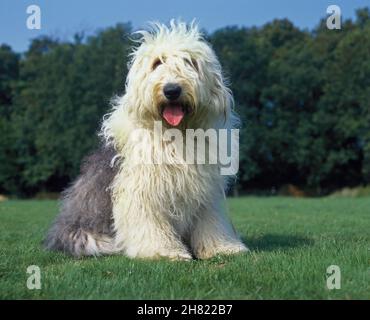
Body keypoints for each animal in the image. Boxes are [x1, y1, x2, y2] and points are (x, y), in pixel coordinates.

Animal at [46, 20, 249, 260]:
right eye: (157, 62)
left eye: (190, 62)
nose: (172, 90)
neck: (175, 135)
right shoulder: (140, 189)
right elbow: (148, 222)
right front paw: (165, 251)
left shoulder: (205, 192)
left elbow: (210, 221)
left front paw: (223, 248)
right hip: (89, 237)